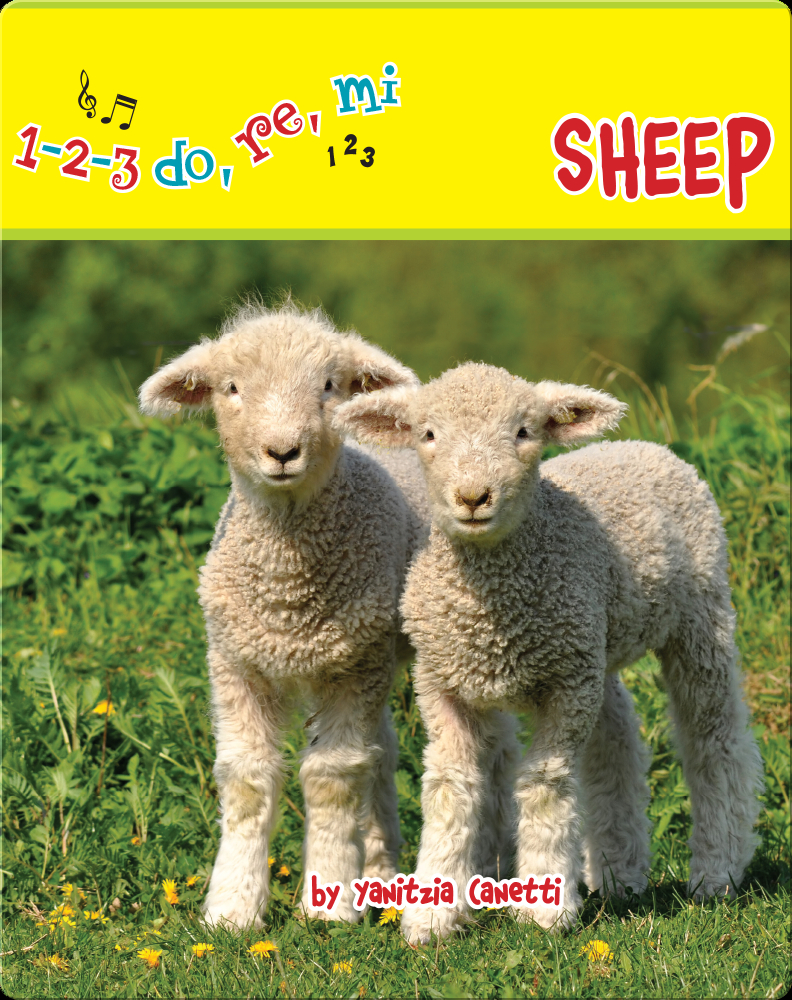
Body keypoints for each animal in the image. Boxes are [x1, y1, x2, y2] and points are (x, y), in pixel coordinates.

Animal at [138, 301, 429, 928]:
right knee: (382, 752)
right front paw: (231, 908)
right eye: (231, 388)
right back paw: (380, 868)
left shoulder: (351, 669)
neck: (286, 595)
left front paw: (331, 903)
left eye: (328, 386)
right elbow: (247, 780)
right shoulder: (236, 663)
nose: (281, 451)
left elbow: (331, 778)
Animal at [334, 362, 764, 943]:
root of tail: (645, 447)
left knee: (714, 738)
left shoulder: (565, 687)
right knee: (616, 737)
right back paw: (619, 873)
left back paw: (717, 870)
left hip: (699, 614)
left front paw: (545, 909)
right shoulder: (442, 684)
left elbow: (544, 786)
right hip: (596, 643)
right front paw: (432, 917)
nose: (473, 496)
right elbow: (449, 789)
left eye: (523, 432)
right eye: (427, 434)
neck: (492, 610)